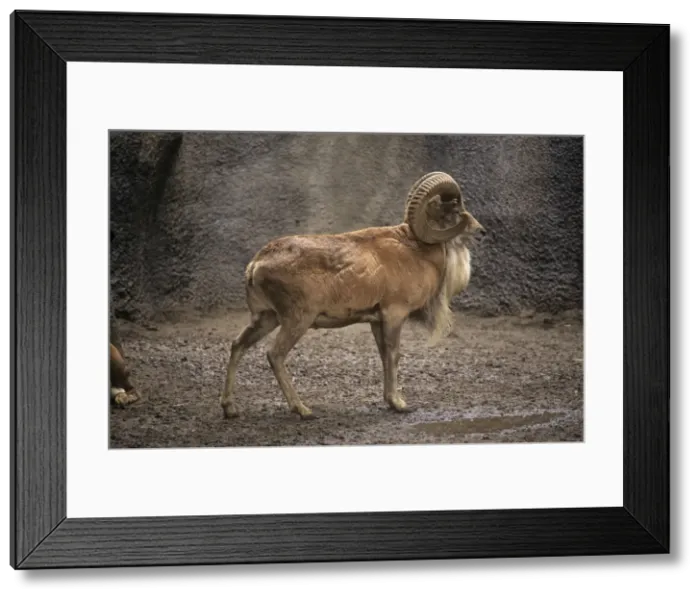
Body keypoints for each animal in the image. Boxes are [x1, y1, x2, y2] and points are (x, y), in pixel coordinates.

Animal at [219, 171, 486, 420]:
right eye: (455, 209)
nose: (481, 232)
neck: (415, 251)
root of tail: (256, 265)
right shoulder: (394, 315)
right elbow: (394, 355)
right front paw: (399, 404)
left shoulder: (377, 321)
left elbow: (384, 356)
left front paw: (390, 401)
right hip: (297, 320)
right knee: (275, 355)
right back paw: (303, 410)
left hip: (266, 317)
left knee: (238, 345)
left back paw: (230, 409)